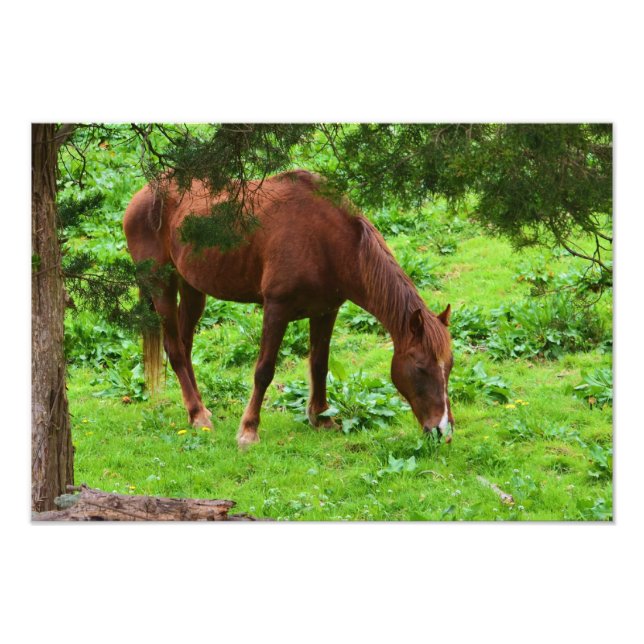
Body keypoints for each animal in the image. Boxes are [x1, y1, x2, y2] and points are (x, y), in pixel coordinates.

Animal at [123, 170, 454, 448]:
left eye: (449, 367)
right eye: (421, 368)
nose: (443, 430)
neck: (328, 241)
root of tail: (142, 195)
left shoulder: (326, 311)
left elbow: (319, 364)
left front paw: (321, 417)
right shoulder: (277, 309)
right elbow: (264, 370)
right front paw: (249, 431)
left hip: (192, 288)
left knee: (184, 344)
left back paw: (198, 409)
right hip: (161, 284)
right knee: (175, 349)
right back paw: (198, 415)